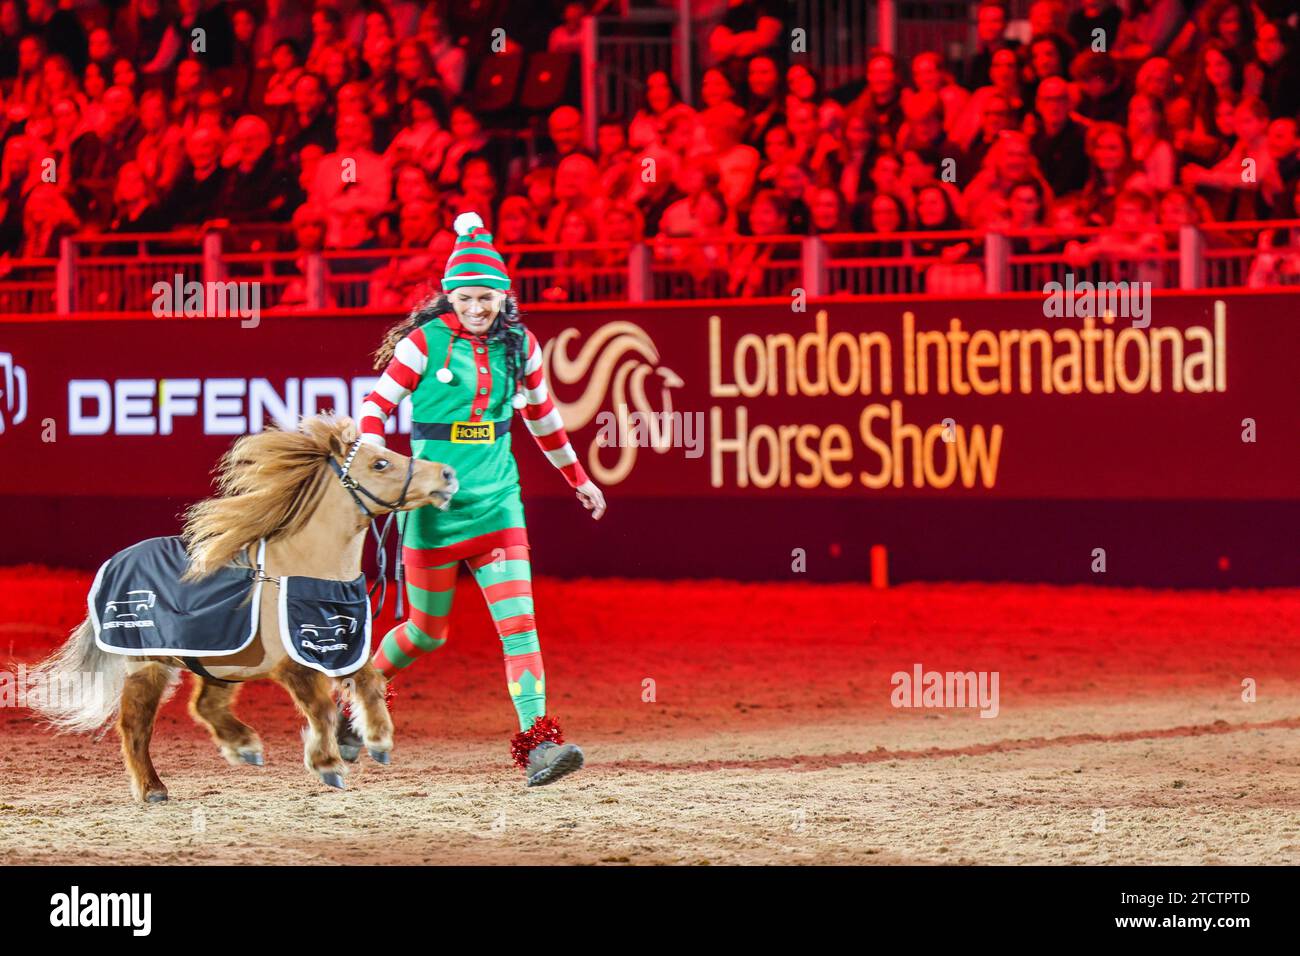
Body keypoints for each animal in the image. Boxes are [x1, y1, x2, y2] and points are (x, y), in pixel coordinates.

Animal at [28, 414, 458, 802]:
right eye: (380, 463)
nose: (447, 474)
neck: (306, 569)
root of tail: (116, 561)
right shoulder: (295, 664)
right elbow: (321, 708)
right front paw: (327, 765)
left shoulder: (342, 648)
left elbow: (370, 681)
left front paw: (379, 740)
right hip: (148, 663)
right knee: (135, 724)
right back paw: (153, 788)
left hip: (222, 661)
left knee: (204, 704)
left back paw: (244, 746)